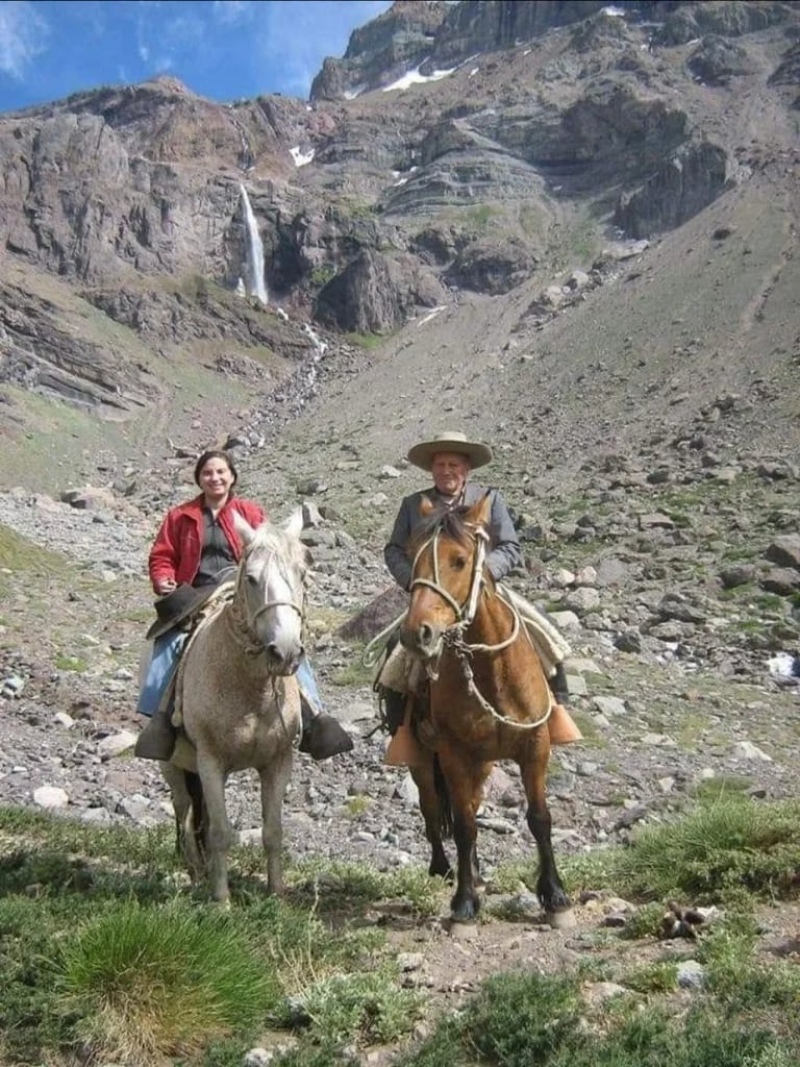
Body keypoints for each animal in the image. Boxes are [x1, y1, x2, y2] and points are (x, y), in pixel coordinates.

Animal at [163, 507, 309, 900]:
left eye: (301, 574)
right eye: (254, 579)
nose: (285, 652)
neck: (251, 692)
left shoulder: (278, 762)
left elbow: (272, 832)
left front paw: (277, 896)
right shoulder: (210, 761)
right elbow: (220, 833)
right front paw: (222, 900)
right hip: (173, 765)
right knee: (184, 810)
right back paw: (196, 871)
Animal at [398, 495, 571, 921]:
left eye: (460, 560)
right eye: (411, 555)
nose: (415, 634)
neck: (494, 674)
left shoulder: (535, 748)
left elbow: (539, 818)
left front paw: (554, 894)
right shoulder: (454, 754)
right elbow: (462, 825)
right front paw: (463, 901)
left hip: (485, 763)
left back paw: (474, 872)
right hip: (423, 760)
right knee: (432, 809)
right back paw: (445, 869)